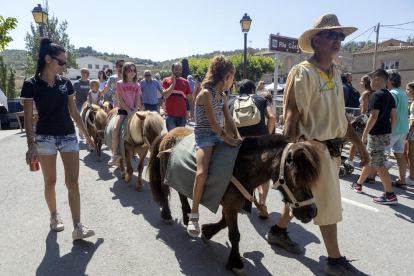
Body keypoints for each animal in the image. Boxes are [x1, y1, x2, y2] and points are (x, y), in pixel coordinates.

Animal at [147, 128, 322, 276]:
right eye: (298, 178)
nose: (311, 212)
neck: (240, 168)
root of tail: (168, 133)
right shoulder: (231, 206)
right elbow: (234, 235)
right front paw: (236, 263)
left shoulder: (231, 205)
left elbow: (224, 223)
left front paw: (207, 232)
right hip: (165, 174)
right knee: (164, 192)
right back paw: (168, 215)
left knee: (182, 193)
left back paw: (187, 217)